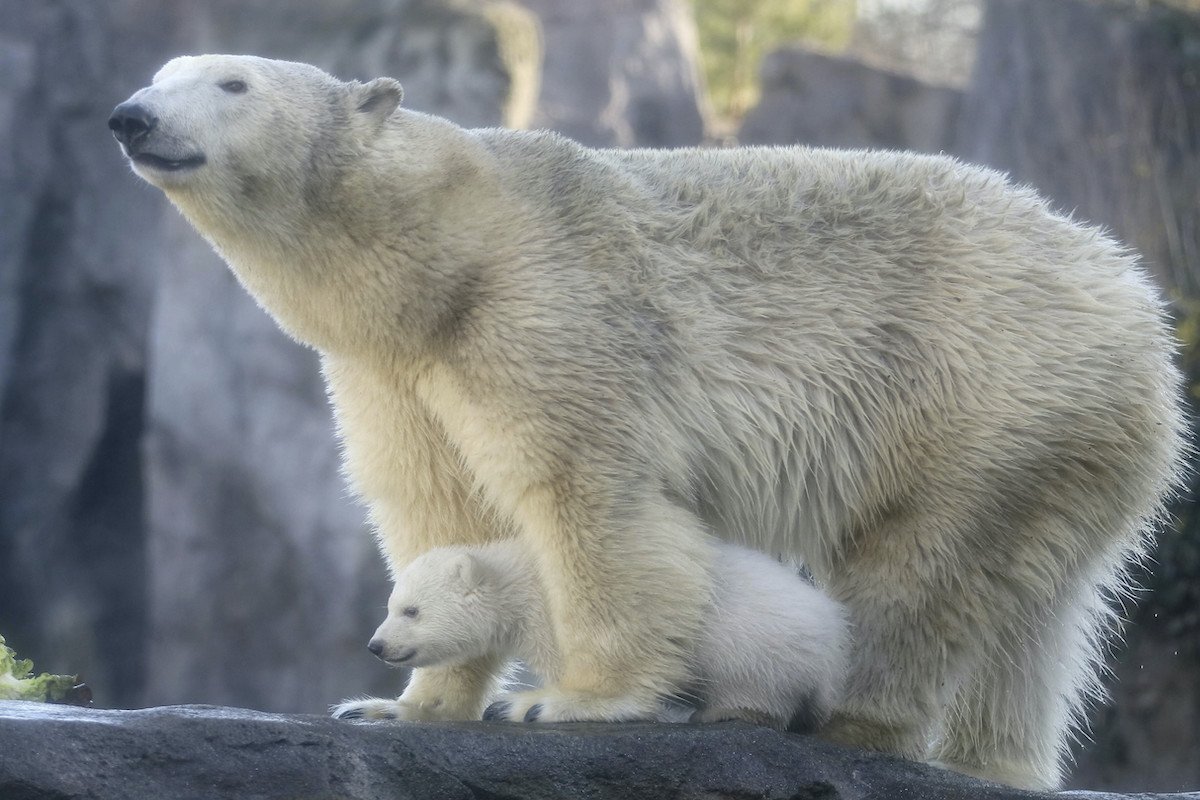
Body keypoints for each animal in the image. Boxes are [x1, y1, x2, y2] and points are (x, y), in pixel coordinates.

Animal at [347, 539, 849, 732]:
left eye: (411, 610)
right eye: (390, 606)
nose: (376, 646)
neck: (519, 577)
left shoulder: (562, 615)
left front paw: (529, 705)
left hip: (759, 642)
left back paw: (725, 711)